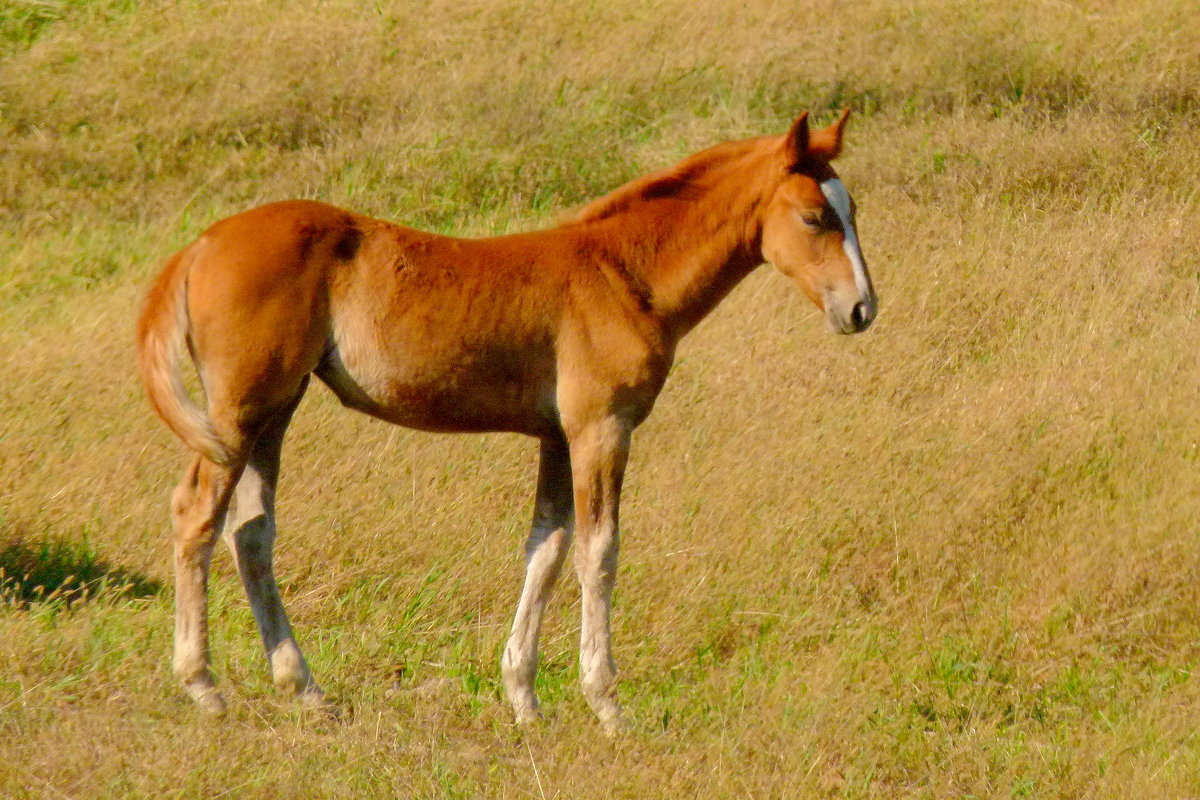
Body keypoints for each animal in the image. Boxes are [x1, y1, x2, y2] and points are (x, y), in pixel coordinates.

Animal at [136, 109, 878, 734]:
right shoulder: (601, 428)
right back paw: (203, 686)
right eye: (815, 217)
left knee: (253, 534)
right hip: (238, 414)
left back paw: (307, 689)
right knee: (196, 516)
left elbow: (545, 550)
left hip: (275, 412)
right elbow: (598, 553)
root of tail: (201, 245)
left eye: (852, 210)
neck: (622, 274)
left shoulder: (555, 437)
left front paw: (523, 697)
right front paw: (606, 702)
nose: (862, 309)